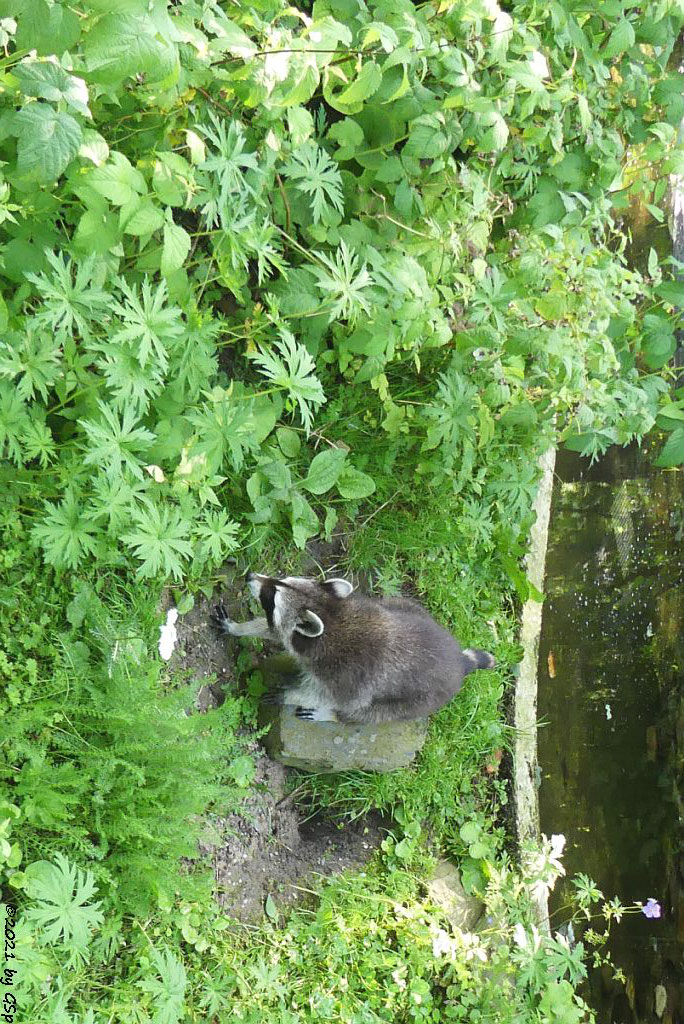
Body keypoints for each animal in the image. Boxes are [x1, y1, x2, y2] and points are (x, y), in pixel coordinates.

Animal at [210, 573, 493, 724]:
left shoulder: (350, 675)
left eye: (272, 596)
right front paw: (239, 628)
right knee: (397, 602)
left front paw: (293, 695)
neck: (333, 616)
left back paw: (334, 716)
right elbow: (274, 630)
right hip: (407, 606)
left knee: (371, 713)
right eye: (279, 580)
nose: (250, 576)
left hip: (421, 701)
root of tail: (459, 661)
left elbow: (341, 699)